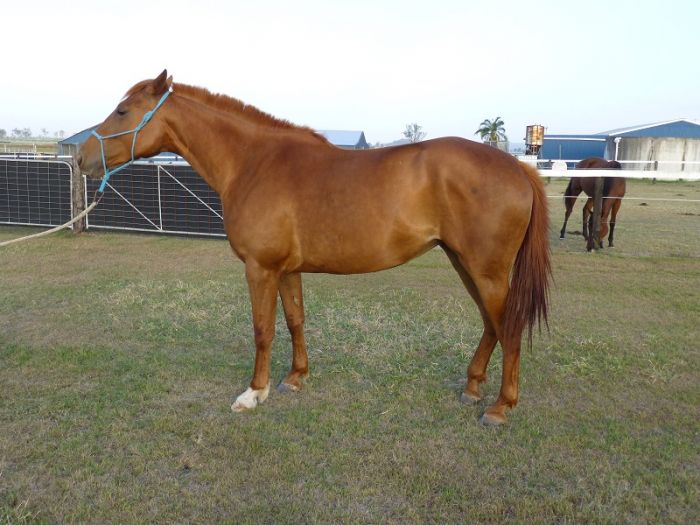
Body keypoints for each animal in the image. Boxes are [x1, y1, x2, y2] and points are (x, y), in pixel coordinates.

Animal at [77, 70, 551, 426]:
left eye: (122, 111)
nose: (81, 157)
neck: (253, 162)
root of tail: (519, 167)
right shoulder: (286, 269)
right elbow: (295, 321)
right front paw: (295, 378)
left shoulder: (260, 268)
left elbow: (262, 329)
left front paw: (254, 392)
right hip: (464, 263)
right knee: (492, 325)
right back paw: (472, 387)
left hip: (485, 269)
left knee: (507, 328)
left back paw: (500, 407)